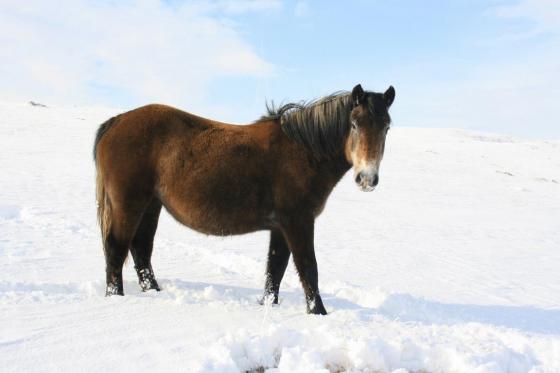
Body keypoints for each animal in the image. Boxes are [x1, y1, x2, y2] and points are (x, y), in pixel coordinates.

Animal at [94, 83, 396, 312]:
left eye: (386, 127)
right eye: (354, 124)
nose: (367, 179)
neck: (304, 152)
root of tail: (117, 121)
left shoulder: (281, 227)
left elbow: (275, 268)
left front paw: (268, 306)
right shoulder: (298, 222)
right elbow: (308, 267)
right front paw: (318, 312)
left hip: (150, 205)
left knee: (141, 249)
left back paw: (154, 292)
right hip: (129, 203)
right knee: (116, 248)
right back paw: (116, 298)